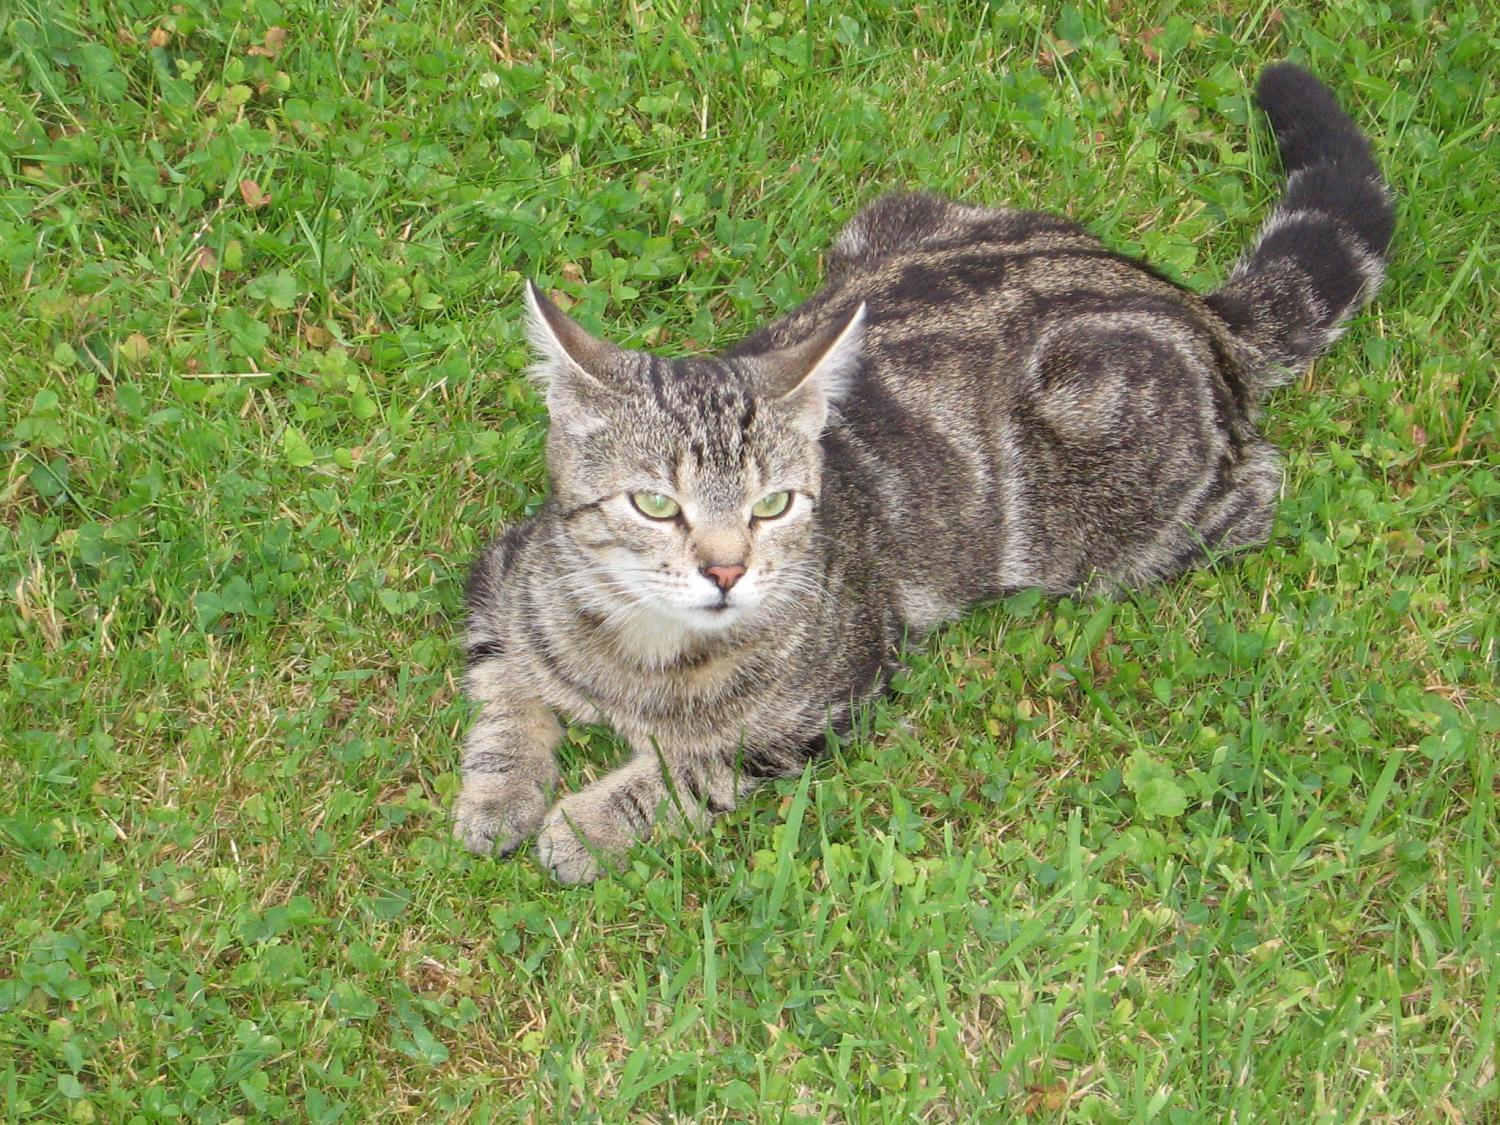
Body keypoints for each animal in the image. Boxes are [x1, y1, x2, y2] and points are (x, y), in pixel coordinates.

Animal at [455, 64, 1393, 883]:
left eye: (773, 504)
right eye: (655, 504)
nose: (725, 571)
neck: (648, 654)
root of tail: (1194, 306)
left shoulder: (833, 698)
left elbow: (696, 764)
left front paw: (587, 822)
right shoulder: (502, 572)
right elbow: (504, 688)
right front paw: (500, 796)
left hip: (1110, 509)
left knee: (1256, 488)